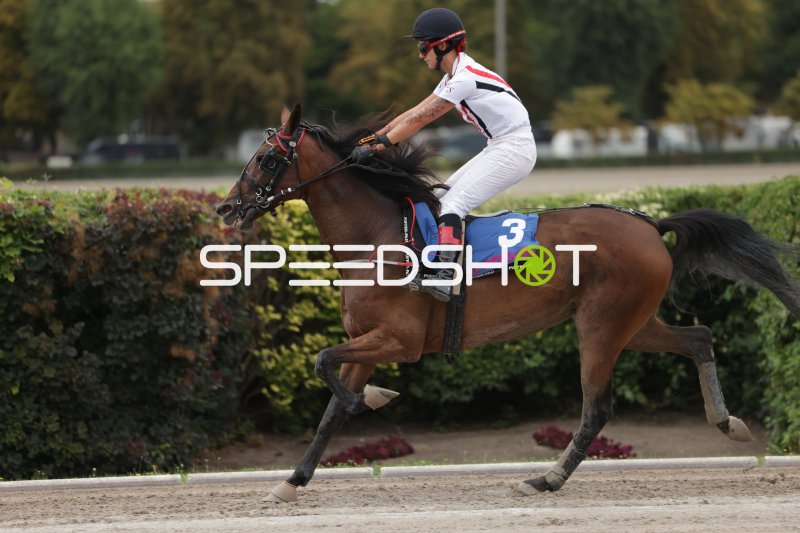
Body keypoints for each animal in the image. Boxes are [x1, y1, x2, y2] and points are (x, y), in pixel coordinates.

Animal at [215, 104, 800, 503]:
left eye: (267, 158)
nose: (227, 207)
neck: (377, 236)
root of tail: (650, 225)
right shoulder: (367, 340)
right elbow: (331, 411)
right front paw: (291, 482)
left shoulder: (397, 341)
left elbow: (326, 368)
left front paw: (375, 399)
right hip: (634, 322)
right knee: (699, 338)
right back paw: (728, 422)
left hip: (602, 326)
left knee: (597, 408)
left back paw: (546, 478)